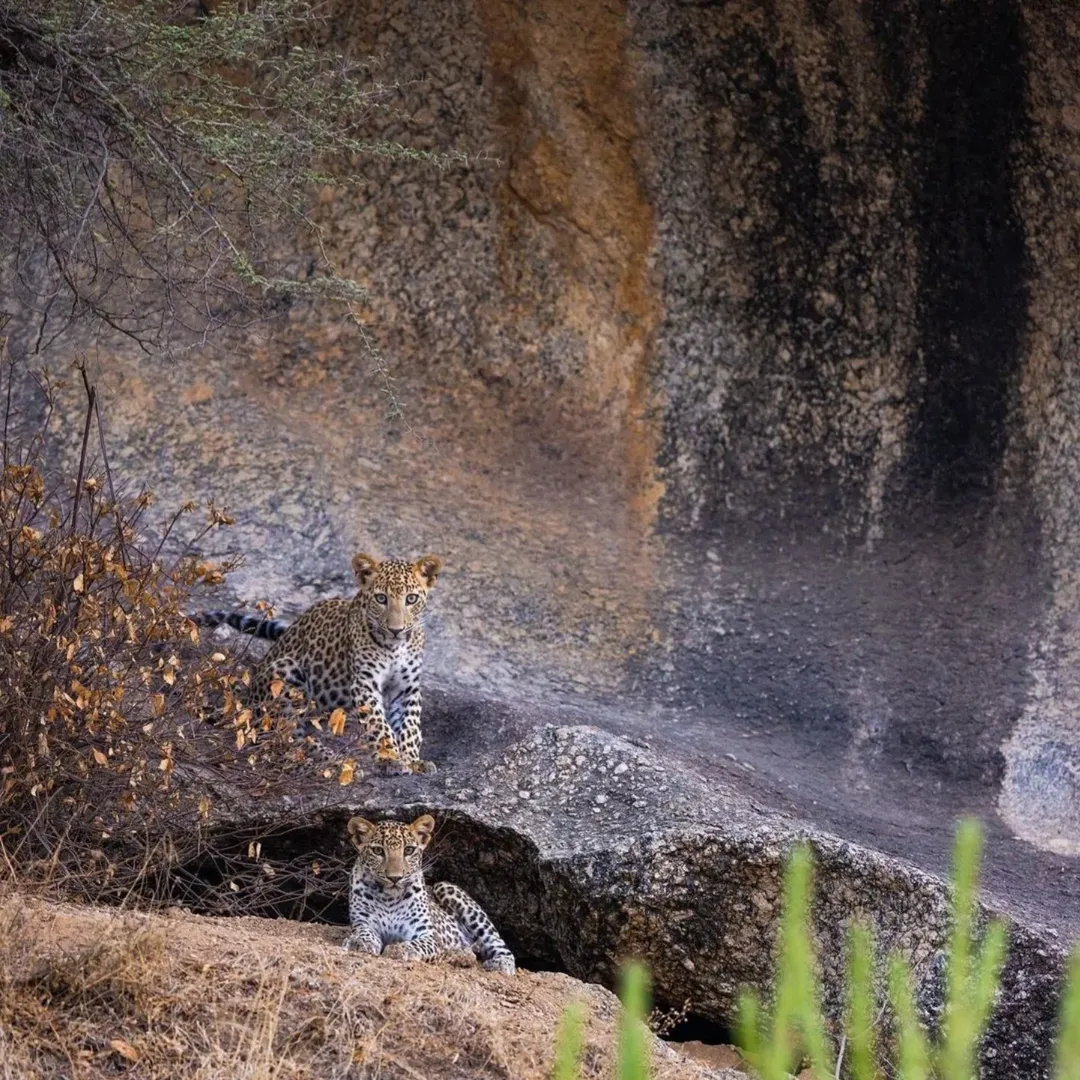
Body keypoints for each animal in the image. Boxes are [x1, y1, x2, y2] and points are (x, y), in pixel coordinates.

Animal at [197, 552, 442, 773]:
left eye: (411, 599)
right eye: (381, 599)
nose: (396, 629)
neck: (395, 647)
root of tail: (248, 697)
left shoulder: (407, 687)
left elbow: (409, 725)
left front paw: (412, 759)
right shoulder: (364, 682)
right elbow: (378, 723)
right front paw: (391, 758)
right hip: (286, 672)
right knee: (284, 735)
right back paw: (333, 763)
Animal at [342, 814, 516, 975]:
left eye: (409, 850)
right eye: (378, 851)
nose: (395, 878)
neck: (389, 898)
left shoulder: (428, 935)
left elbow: (416, 945)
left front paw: (398, 949)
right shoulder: (363, 922)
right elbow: (364, 933)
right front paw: (359, 942)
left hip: (446, 888)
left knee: (498, 943)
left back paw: (500, 963)